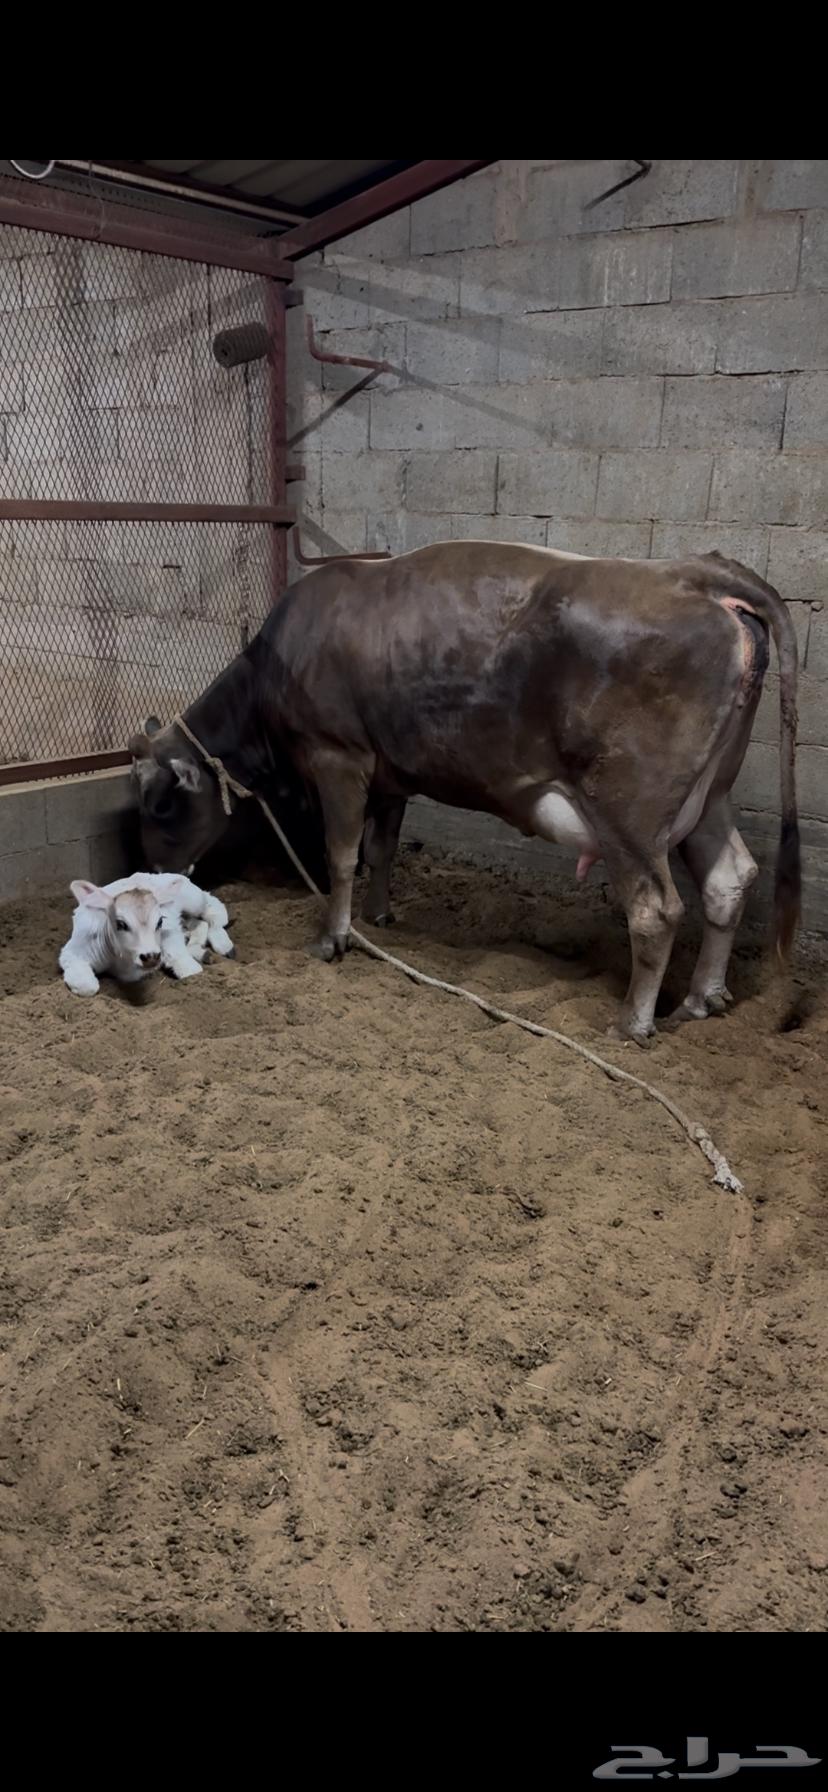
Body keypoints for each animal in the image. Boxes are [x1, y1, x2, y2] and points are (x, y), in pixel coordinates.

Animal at [128, 543, 799, 1046]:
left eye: (161, 806)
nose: (154, 874)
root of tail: (690, 572)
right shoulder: (389, 772)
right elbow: (381, 849)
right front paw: (378, 916)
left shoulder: (339, 757)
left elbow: (342, 855)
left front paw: (332, 939)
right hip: (710, 794)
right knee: (729, 879)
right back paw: (702, 998)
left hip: (628, 810)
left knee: (656, 908)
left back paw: (631, 1023)